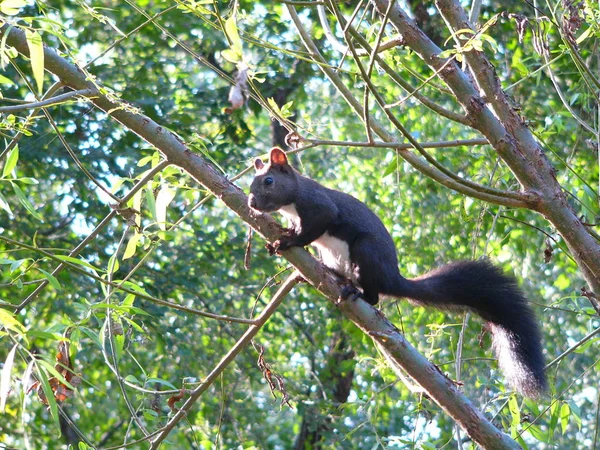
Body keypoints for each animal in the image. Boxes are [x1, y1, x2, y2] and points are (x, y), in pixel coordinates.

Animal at [248, 148, 548, 398]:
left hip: (366, 253)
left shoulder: (320, 207)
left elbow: (313, 228)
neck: (293, 202)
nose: (251, 203)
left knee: (374, 295)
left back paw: (356, 291)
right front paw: (281, 238)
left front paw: (289, 242)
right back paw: (335, 276)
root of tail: (392, 277)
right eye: (252, 182)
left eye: (268, 181)